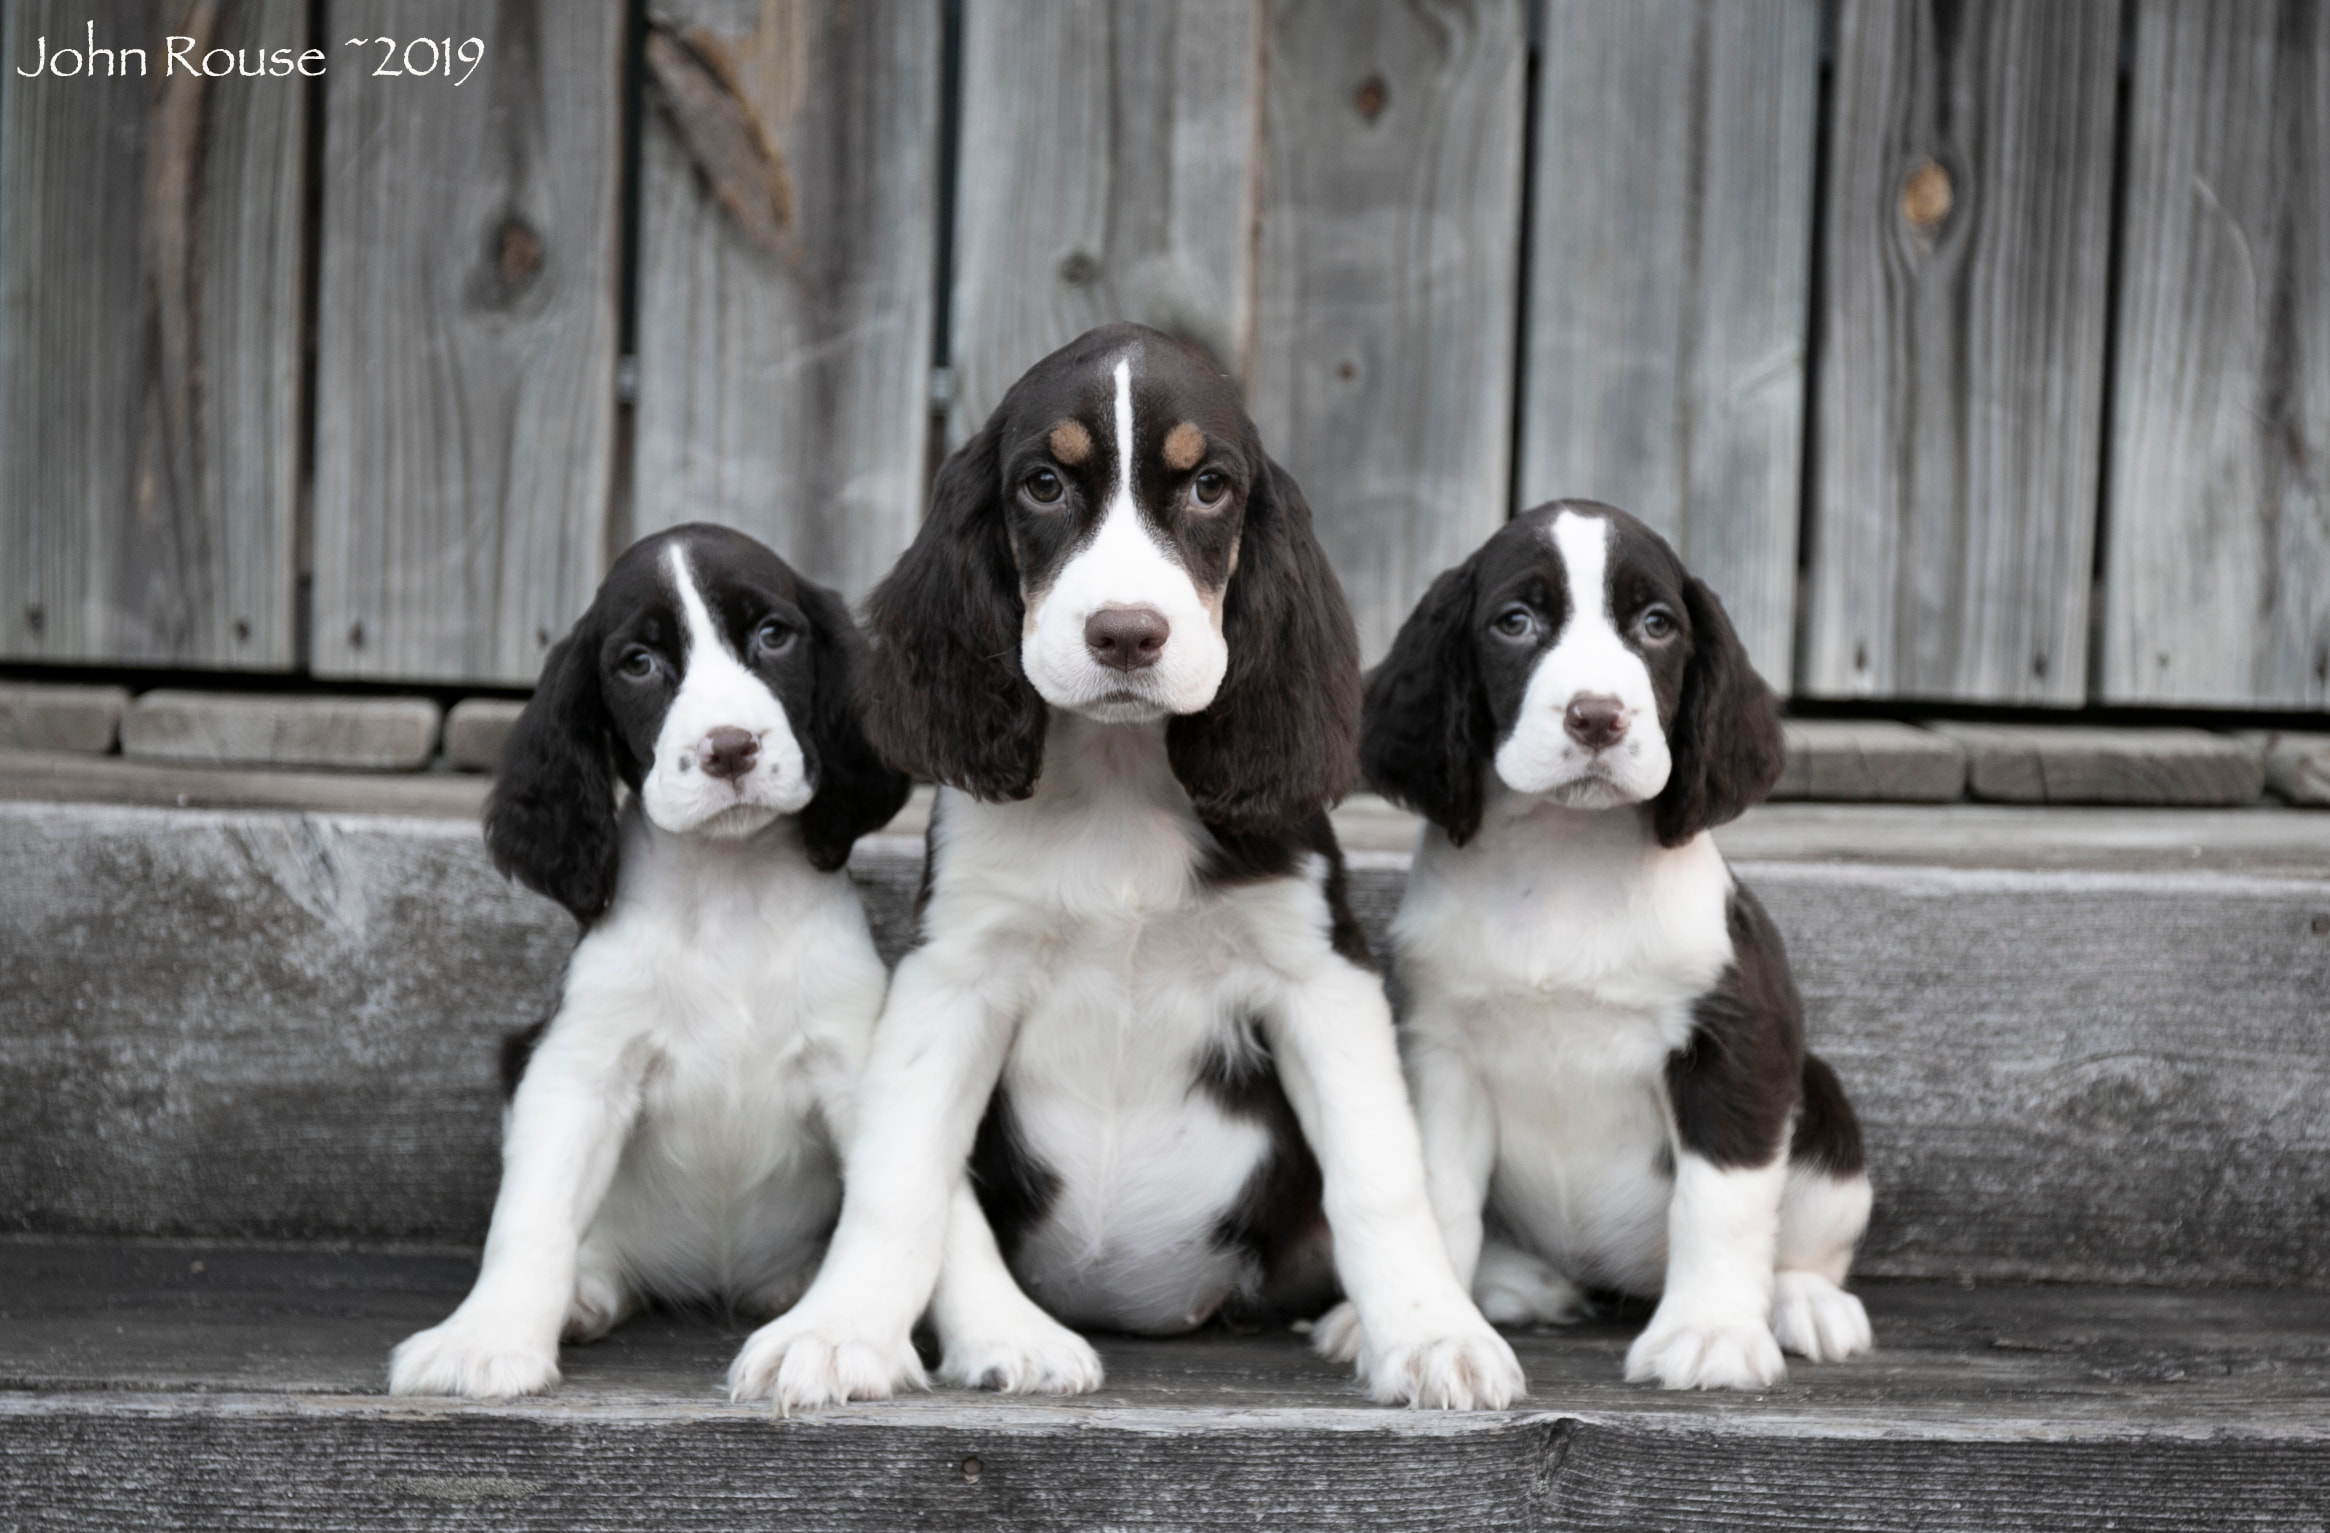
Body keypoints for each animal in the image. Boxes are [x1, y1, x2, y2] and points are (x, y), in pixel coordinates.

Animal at [393, 526, 1039, 1397]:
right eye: (638, 662)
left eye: (773, 634)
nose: (729, 747)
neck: (729, 894)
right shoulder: (578, 1065)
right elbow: (529, 1214)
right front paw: (484, 1337)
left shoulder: (855, 1055)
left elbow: (930, 1189)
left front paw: (1005, 1331)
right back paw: (582, 1292)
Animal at [731, 319, 1528, 1407]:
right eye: (1042, 485)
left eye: (1209, 488)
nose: (1124, 634)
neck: (1119, 772)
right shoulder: (954, 973)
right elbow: (901, 1174)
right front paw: (836, 1330)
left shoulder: (1318, 972)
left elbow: (1378, 1173)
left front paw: (1430, 1333)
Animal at [1332, 498, 1873, 1388]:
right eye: (1515, 622)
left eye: (1657, 624)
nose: (1596, 716)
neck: (1565, 856)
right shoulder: (1442, 1052)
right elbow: (1440, 1194)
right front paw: (1423, 1323)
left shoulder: (1738, 1042)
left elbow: (1721, 1199)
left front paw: (1712, 1330)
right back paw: (1518, 1282)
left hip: (1819, 1099)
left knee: (1805, 1241)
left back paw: (1802, 1301)